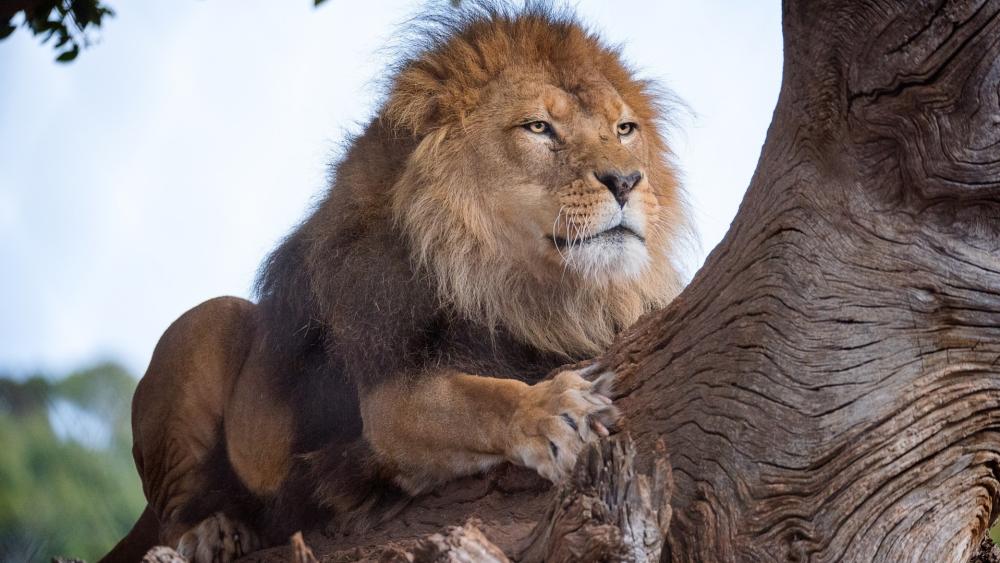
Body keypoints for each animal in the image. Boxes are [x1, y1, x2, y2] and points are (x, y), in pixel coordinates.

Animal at [102, 4, 688, 562]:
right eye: (539, 128)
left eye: (624, 130)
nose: (626, 181)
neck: (525, 289)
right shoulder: (388, 396)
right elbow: (481, 398)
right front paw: (552, 410)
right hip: (206, 322)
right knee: (171, 515)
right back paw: (211, 532)